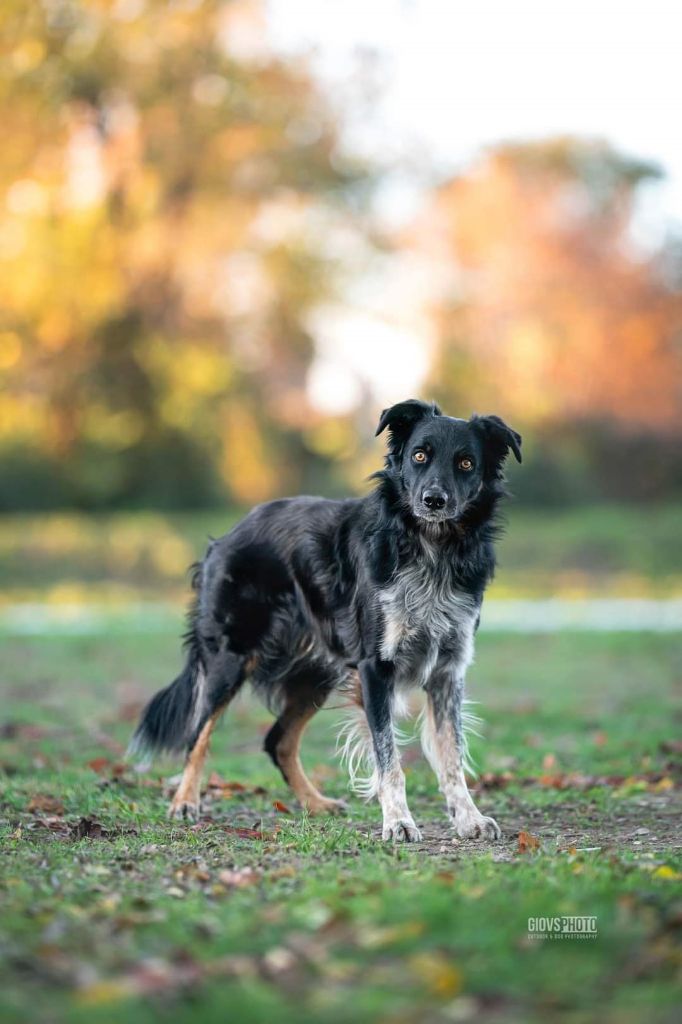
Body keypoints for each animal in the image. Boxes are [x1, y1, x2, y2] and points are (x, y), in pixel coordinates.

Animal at [129, 399, 520, 839]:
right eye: (420, 456)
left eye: (466, 463)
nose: (434, 499)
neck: (430, 548)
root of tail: (226, 537)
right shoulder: (375, 668)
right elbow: (389, 758)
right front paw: (398, 822)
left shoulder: (447, 670)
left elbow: (451, 754)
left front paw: (469, 817)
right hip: (229, 658)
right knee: (199, 733)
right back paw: (184, 802)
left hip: (313, 675)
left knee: (277, 740)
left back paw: (315, 803)